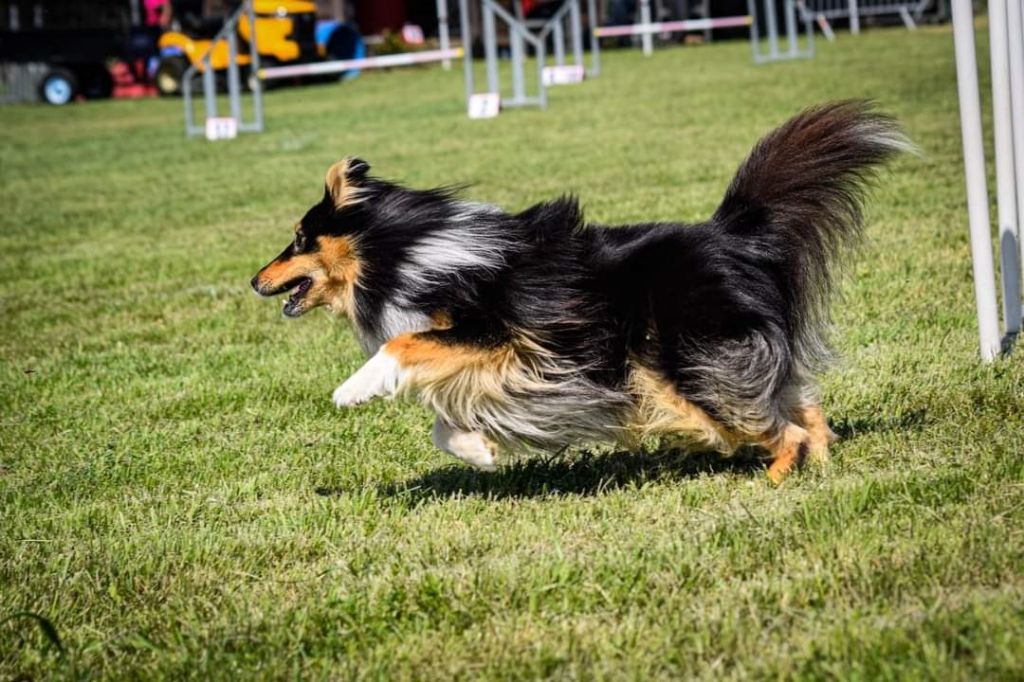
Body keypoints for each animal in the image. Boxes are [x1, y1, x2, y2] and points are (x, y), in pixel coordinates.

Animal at [251, 102, 909, 483]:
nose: (255, 280)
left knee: (775, 424)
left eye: (299, 238)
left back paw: (768, 479)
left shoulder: (492, 337)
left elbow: (403, 347)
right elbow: (445, 422)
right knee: (804, 407)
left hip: (686, 361)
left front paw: (351, 390)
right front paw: (481, 452)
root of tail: (734, 231)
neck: (406, 249)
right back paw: (817, 469)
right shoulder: (501, 363)